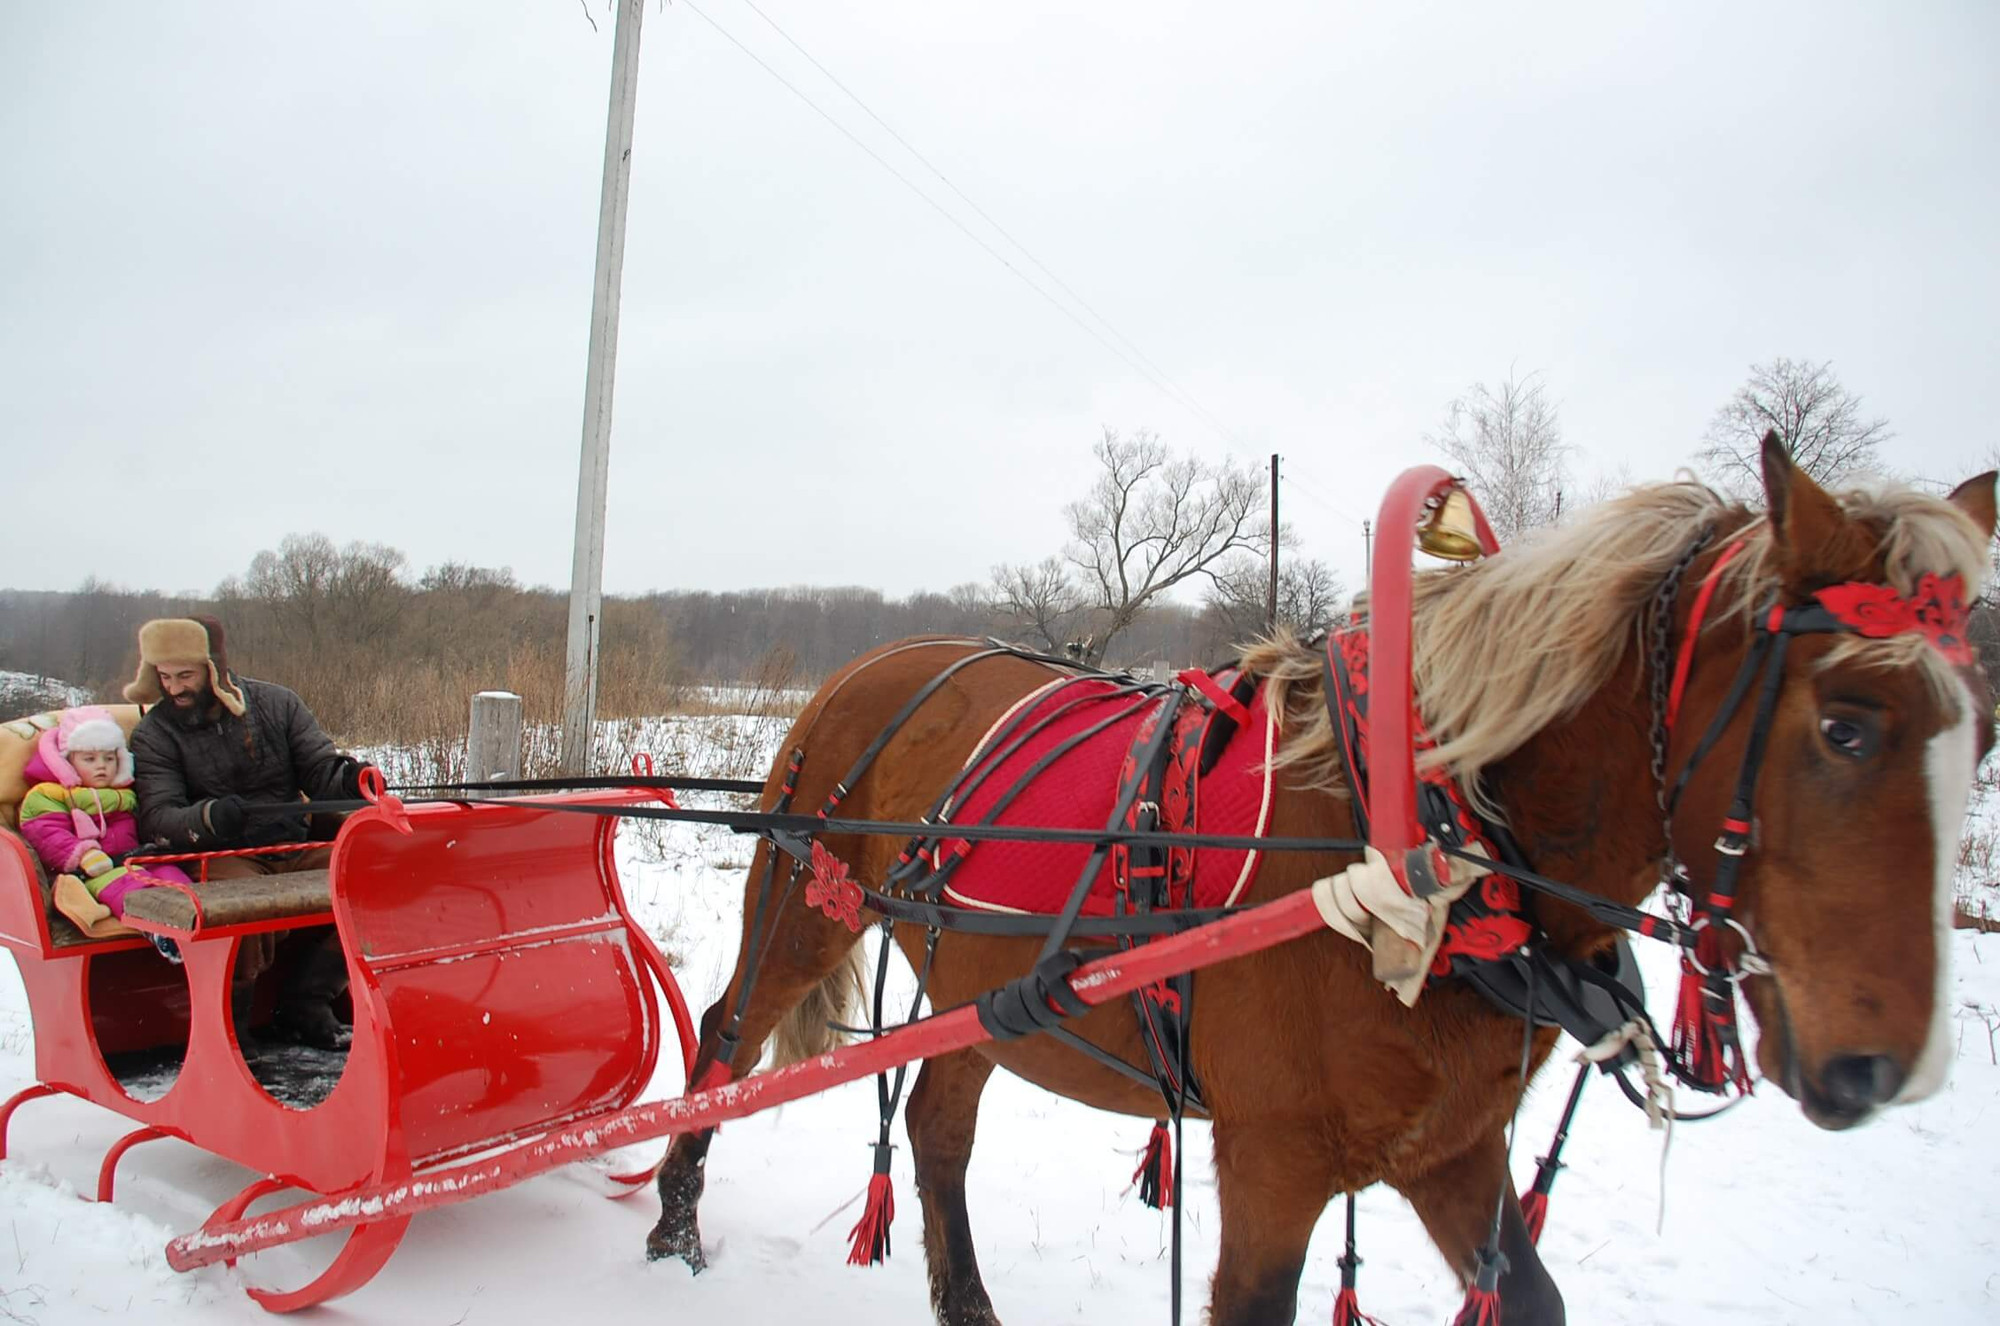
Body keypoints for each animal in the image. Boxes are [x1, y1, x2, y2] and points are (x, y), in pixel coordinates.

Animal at [648, 448, 1992, 1326]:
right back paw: (674, 1221)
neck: (1419, 849)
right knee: (725, 1035)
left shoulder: (1450, 1149)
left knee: (935, 1119)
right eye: (1845, 725)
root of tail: (877, 662)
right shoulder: (1273, 1160)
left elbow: (1531, 1299)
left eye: (1974, 737)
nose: (1886, 1070)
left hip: (982, 981)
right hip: (798, 903)